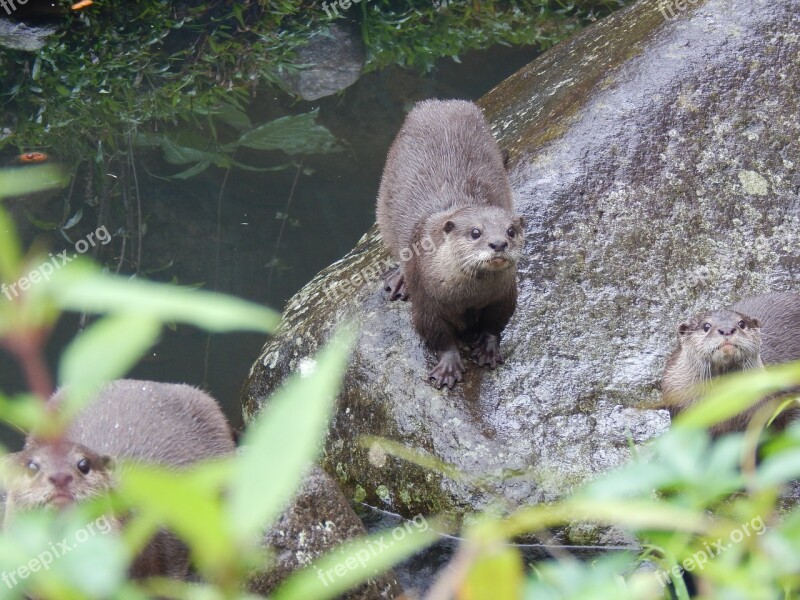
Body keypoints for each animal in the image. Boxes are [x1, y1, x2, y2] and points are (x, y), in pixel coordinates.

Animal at [376, 99, 524, 390]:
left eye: (511, 231)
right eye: (476, 232)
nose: (498, 244)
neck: (469, 295)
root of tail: (439, 103)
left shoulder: (505, 294)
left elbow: (496, 323)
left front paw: (488, 348)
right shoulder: (427, 300)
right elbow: (438, 336)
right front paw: (447, 368)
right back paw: (398, 281)